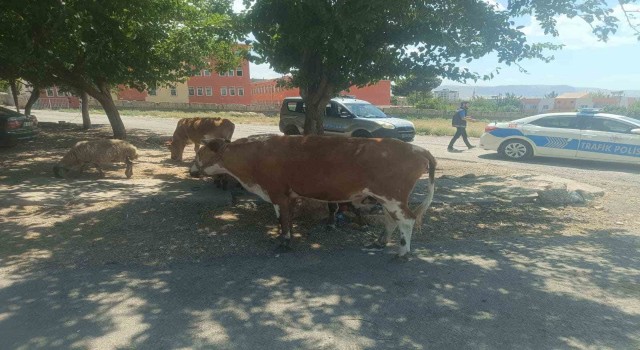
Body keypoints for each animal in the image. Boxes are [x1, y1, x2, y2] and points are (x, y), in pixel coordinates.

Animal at [190, 135, 438, 258]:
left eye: (200, 152)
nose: (191, 169)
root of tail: (417, 149)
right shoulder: (288, 195)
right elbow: (286, 220)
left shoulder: (278, 193)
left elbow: (284, 222)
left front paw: (284, 243)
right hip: (386, 197)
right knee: (391, 220)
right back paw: (379, 242)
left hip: (393, 195)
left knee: (406, 219)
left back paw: (402, 252)